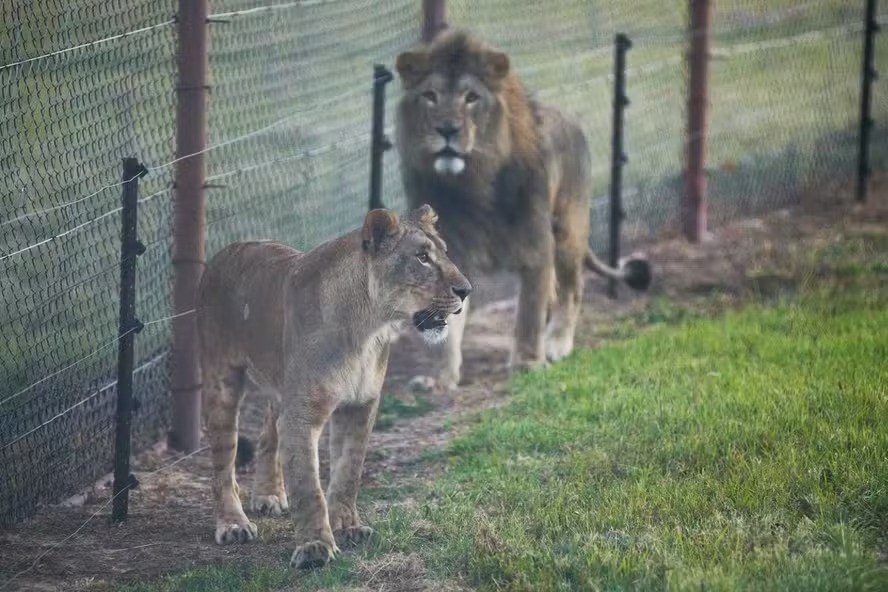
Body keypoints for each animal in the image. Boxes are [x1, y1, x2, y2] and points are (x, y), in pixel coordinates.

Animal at [197, 205, 468, 568]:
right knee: (222, 466)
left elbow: (348, 470)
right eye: (422, 257)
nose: (466, 290)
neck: (366, 328)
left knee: (269, 436)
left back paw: (269, 494)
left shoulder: (360, 406)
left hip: (281, 387)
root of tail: (224, 252)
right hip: (222, 381)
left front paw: (348, 527)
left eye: (444, 253)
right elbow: (308, 486)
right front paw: (315, 547)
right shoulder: (302, 415)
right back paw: (233, 523)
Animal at [396, 30, 652, 388]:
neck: (473, 181)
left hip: (568, 230)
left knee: (572, 289)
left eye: (471, 97)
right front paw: (440, 378)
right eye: (430, 96)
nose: (447, 129)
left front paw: (528, 363)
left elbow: (529, 312)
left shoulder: (536, 246)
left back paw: (557, 344)